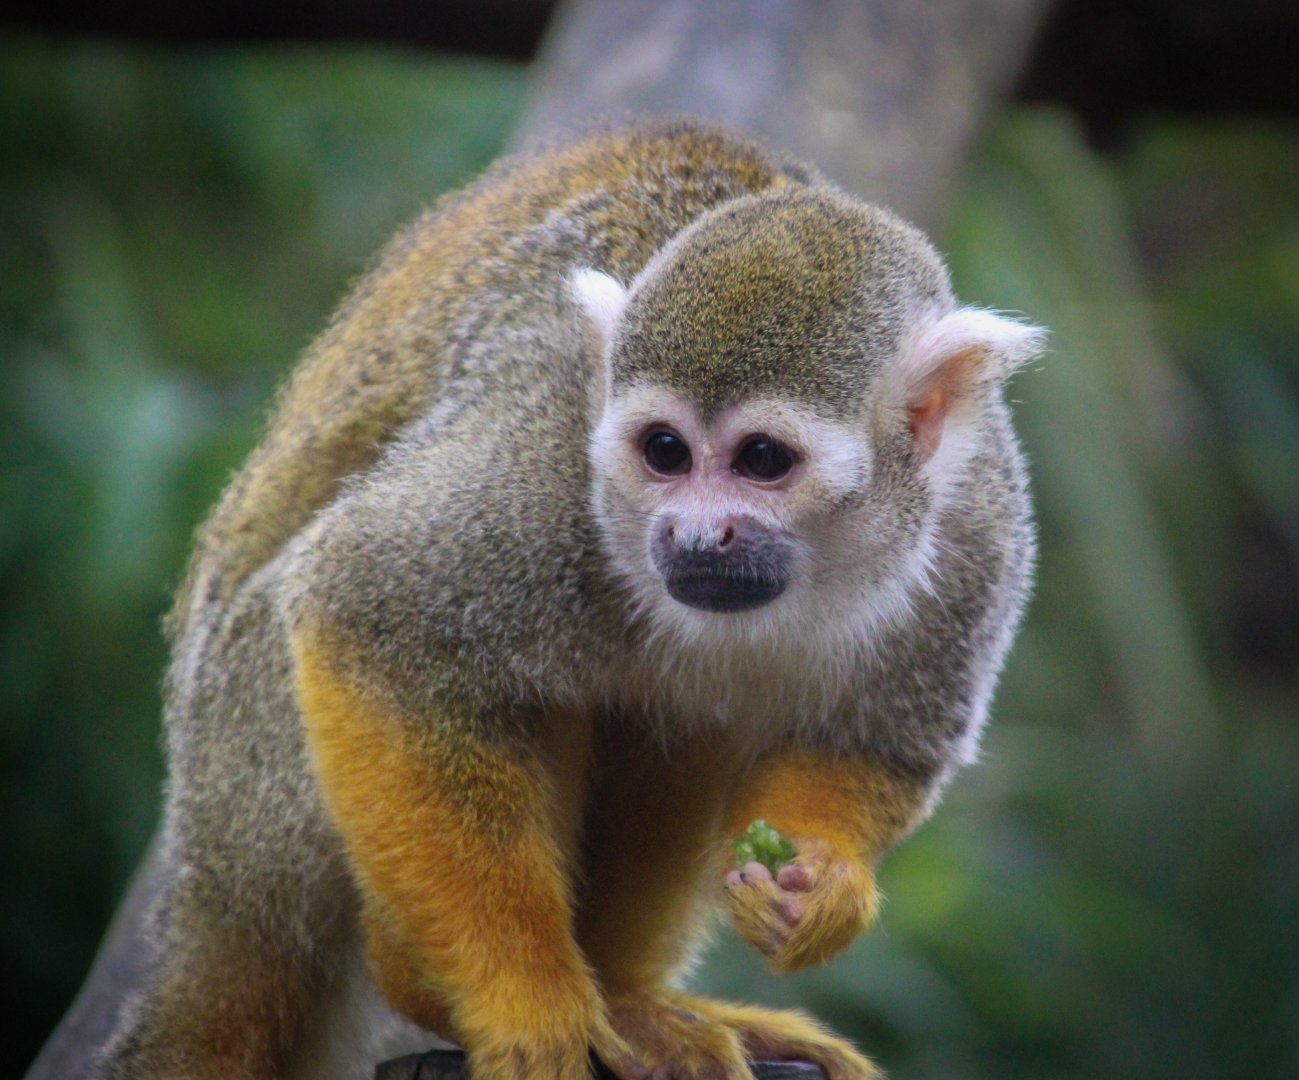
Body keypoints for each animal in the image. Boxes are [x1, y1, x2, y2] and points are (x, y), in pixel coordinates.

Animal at [97, 118, 1043, 1080]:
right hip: (252, 770)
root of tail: (205, 882)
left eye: (763, 461)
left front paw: (818, 886)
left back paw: (633, 999)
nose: (695, 537)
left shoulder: (976, 529)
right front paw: (526, 1002)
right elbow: (362, 608)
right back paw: (425, 984)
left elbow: (879, 744)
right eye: (662, 450)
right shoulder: (550, 458)